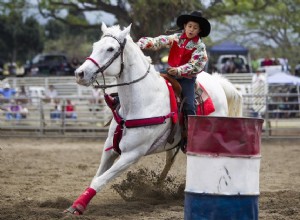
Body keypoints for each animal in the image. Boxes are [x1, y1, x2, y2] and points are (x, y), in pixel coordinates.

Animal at [64, 23, 243, 216]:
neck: (139, 102)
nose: (80, 73)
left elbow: (100, 180)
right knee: (170, 160)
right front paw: (76, 204)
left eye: (110, 49)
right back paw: (157, 188)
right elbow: (96, 177)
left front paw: (78, 206)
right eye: (95, 45)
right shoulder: (109, 149)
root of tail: (218, 82)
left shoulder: (132, 154)